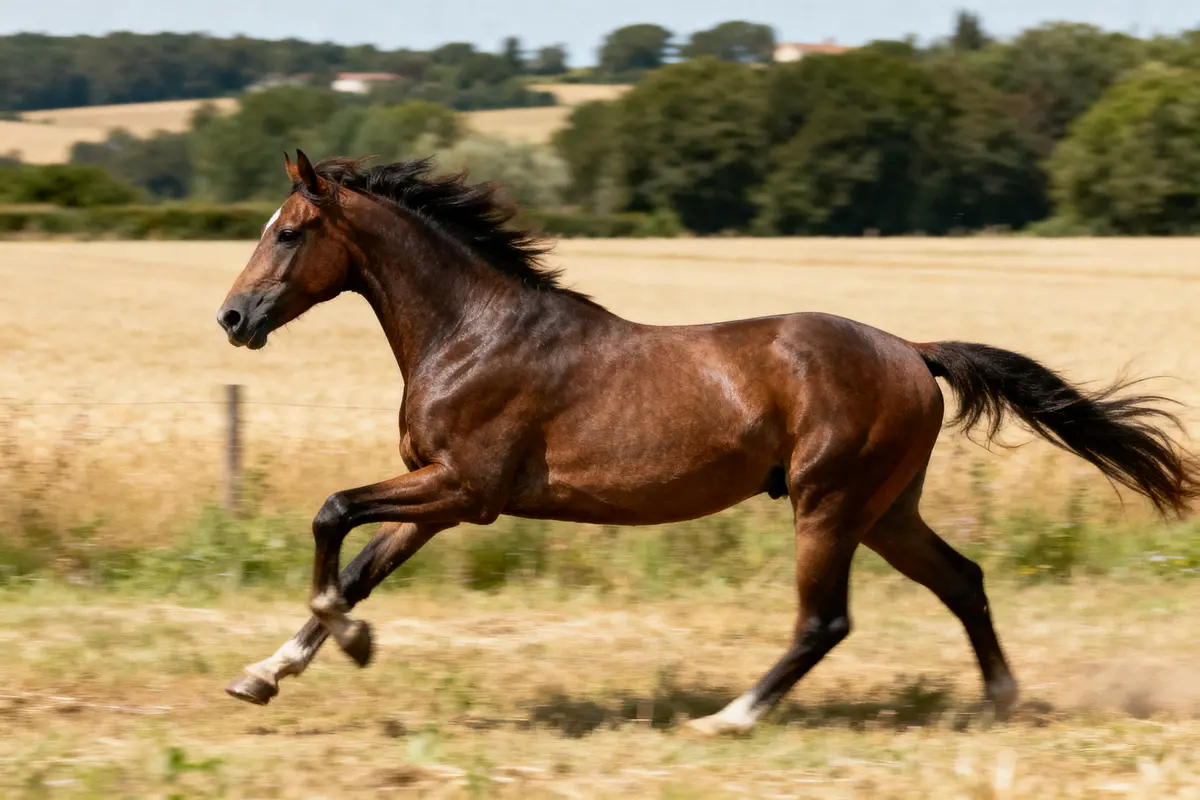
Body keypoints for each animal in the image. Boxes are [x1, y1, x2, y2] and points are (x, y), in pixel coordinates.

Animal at [216, 150, 1198, 736]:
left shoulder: (467, 490)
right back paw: (999, 699)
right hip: (886, 510)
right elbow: (359, 562)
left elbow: (331, 517)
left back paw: (731, 717)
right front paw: (266, 673)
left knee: (825, 619)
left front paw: (349, 641)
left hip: (829, 502)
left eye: (289, 232)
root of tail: (913, 352)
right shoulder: (439, 493)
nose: (232, 319)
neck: (472, 331)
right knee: (963, 579)